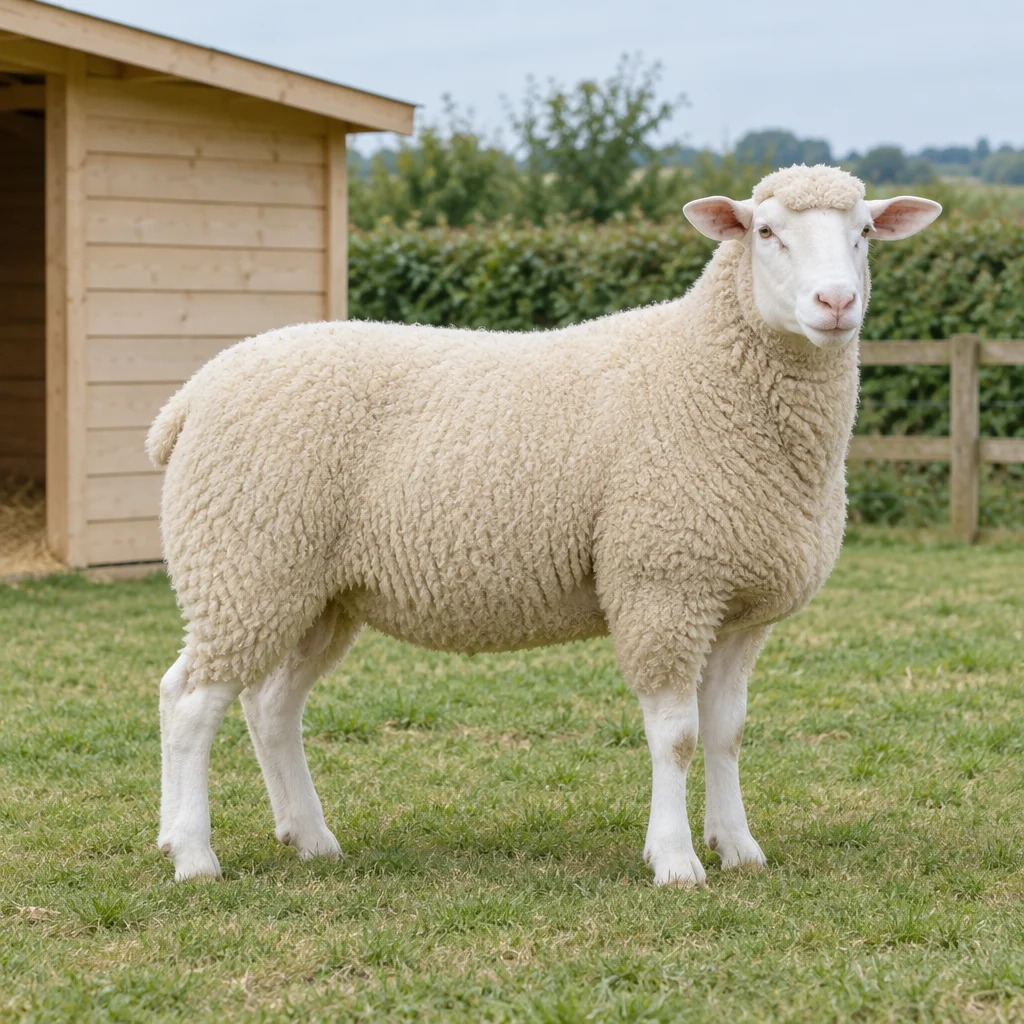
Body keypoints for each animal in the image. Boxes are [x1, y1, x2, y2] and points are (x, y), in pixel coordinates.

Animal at [149, 164, 941, 884]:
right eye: (767, 232)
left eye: (864, 233)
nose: (835, 301)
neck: (707, 371)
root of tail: (193, 393)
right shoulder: (663, 584)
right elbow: (677, 738)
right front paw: (676, 860)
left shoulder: (738, 607)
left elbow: (727, 734)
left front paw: (738, 847)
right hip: (245, 566)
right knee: (190, 703)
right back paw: (192, 855)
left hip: (315, 593)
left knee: (269, 707)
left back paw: (308, 838)